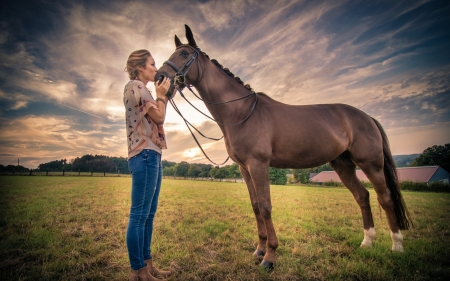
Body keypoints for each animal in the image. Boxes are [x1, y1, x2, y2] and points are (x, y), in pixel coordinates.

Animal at [156, 25, 412, 270]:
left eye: (184, 53)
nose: (159, 77)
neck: (243, 113)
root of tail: (367, 117)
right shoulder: (245, 169)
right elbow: (256, 206)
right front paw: (259, 250)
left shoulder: (259, 165)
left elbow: (266, 207)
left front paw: (269, 257)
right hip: (343, 165)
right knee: (362, 196)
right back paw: (367, 242)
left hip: (371, 164)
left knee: (385, 198)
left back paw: (397, 246)